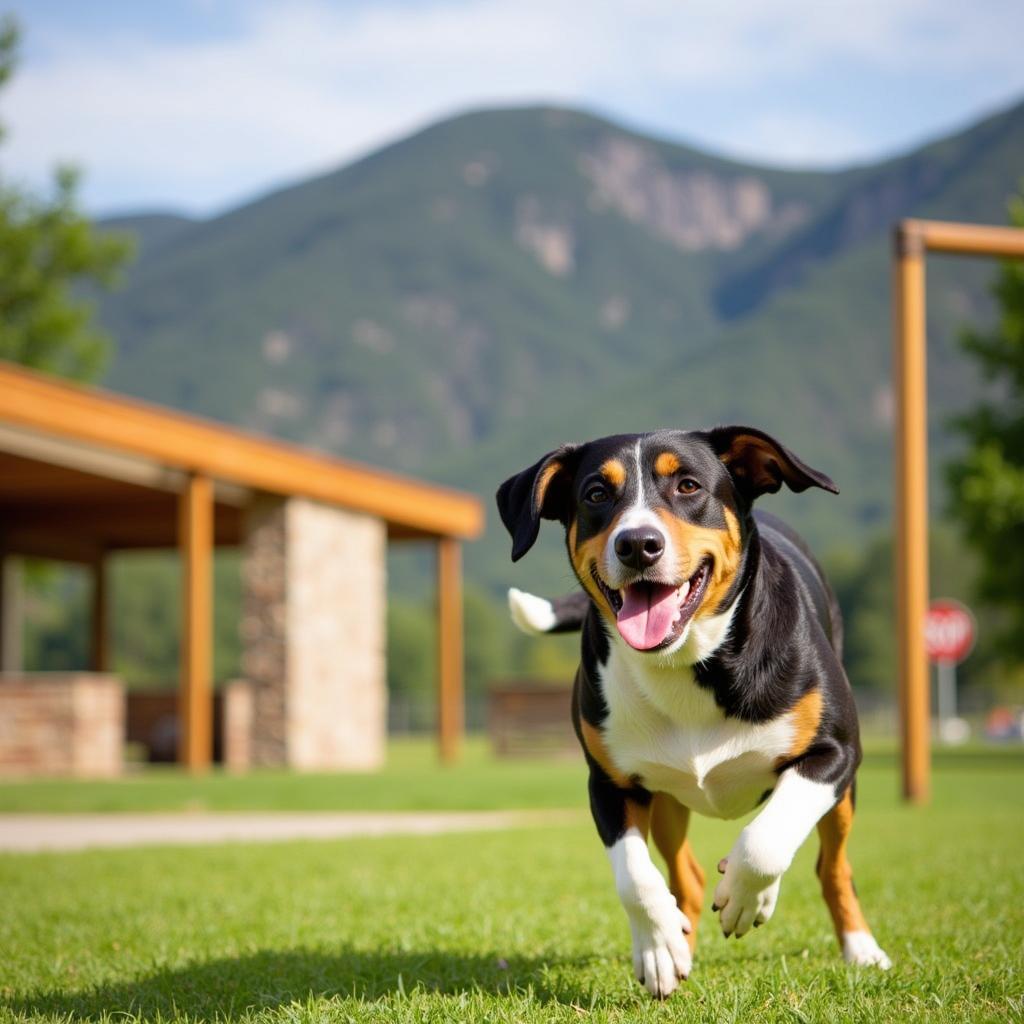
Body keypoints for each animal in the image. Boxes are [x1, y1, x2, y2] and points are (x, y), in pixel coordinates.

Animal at [495, 425, 888, 999]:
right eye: (596, 493)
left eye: (688, 485)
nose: (638, 543)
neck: (688, 662)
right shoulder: (611, 783)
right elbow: (636, 878)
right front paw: (659, 950)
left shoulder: (834, 753)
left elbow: (766, 840)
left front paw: (749, 897)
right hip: (665, 798)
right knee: (688, 878)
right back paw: (678, 946)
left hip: (843, 796)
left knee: (831, 867)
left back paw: (861, 949)